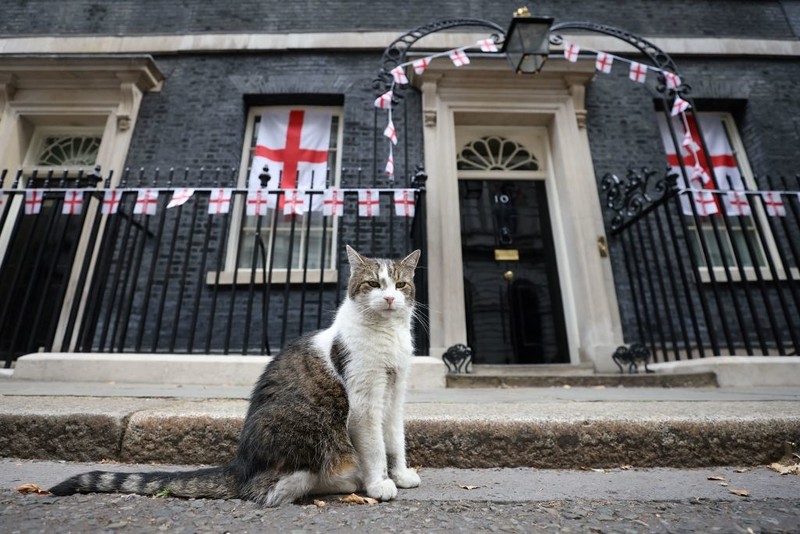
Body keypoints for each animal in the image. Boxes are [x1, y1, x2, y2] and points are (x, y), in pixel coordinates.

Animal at [48, 246, 424, 506]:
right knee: (263, 488)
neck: (387, 335)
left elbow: (394, 439)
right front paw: (379, 483)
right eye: (373, 283)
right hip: (309, 424)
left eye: (400, 284)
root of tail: (242, 463)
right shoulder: (364, 399)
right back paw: (340, 481)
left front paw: (401, 474)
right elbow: (375, 446)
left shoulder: (396, 391)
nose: (389, 298)